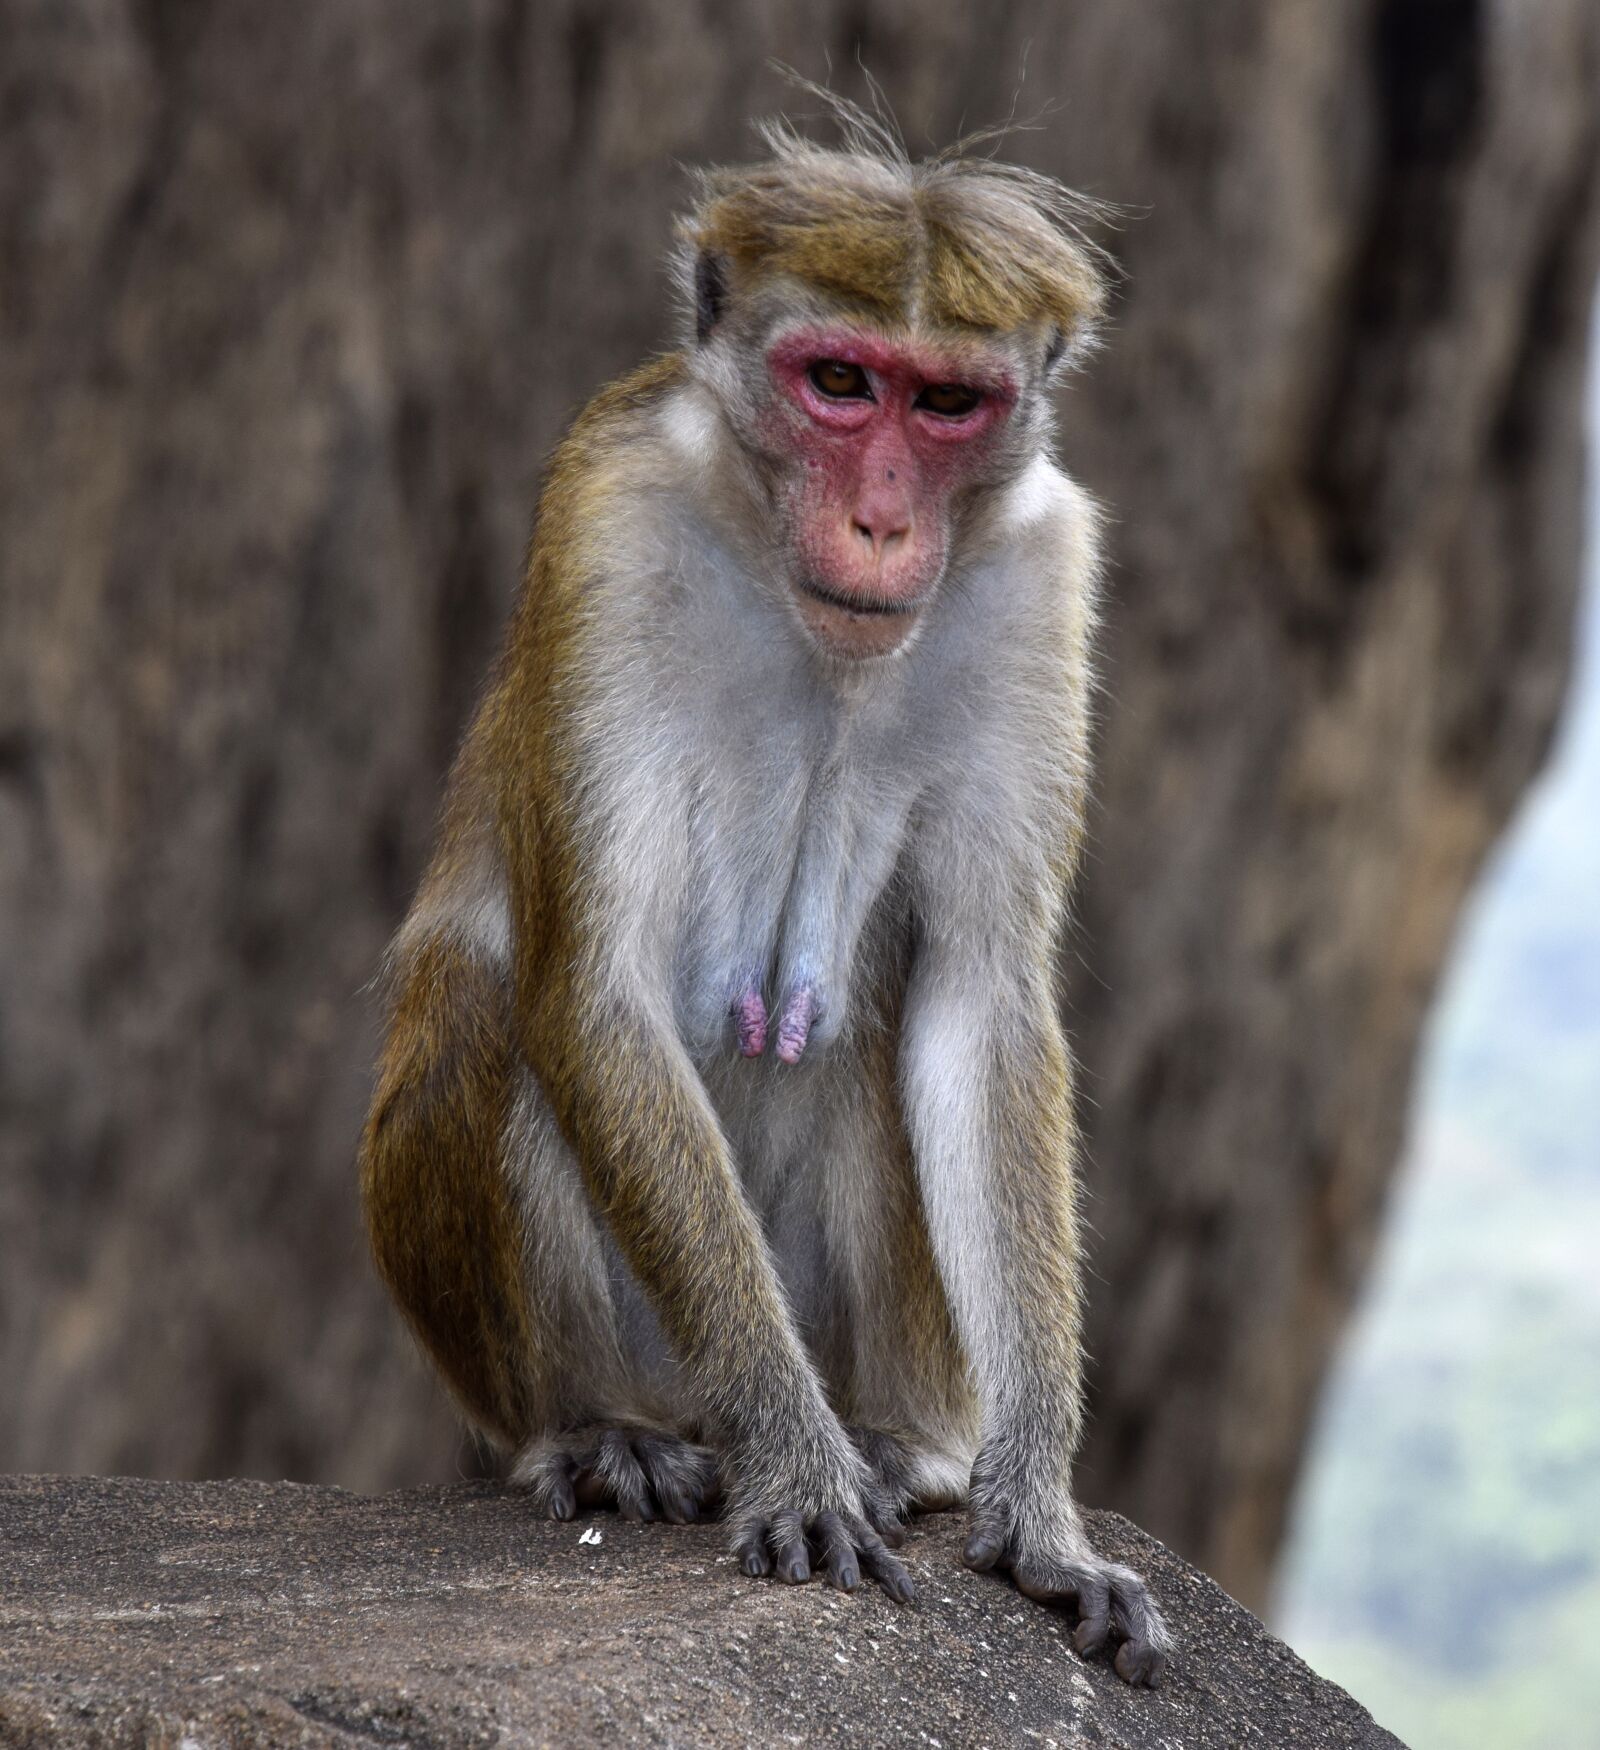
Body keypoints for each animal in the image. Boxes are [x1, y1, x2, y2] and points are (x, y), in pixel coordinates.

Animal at [359, 96, 1170, 1688]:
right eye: (839, 384)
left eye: (946, 404)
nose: (881, 526)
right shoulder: (604, 515)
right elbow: (590, 989)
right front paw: (795, 1463)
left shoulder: (1044, 568)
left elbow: (978, 1002)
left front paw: (1041, 1515)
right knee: (489, 1007)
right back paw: (607, 1434)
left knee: (877, 1033)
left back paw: (906, 1443)